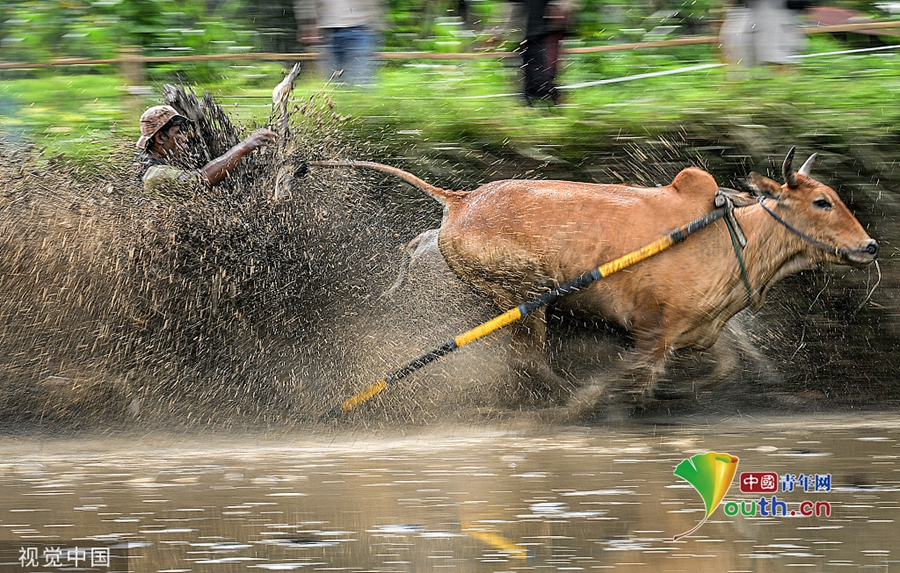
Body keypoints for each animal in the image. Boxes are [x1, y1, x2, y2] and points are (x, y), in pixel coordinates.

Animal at [312, 150, 880, 404]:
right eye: (822, 201)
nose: (870, 247)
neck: (732, 236)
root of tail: (460, 201)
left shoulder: (699, 333)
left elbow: (723, 368)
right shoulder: (653, 331)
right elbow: (634, 383)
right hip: (525, 293)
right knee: (529, 359)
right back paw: (560, 396)